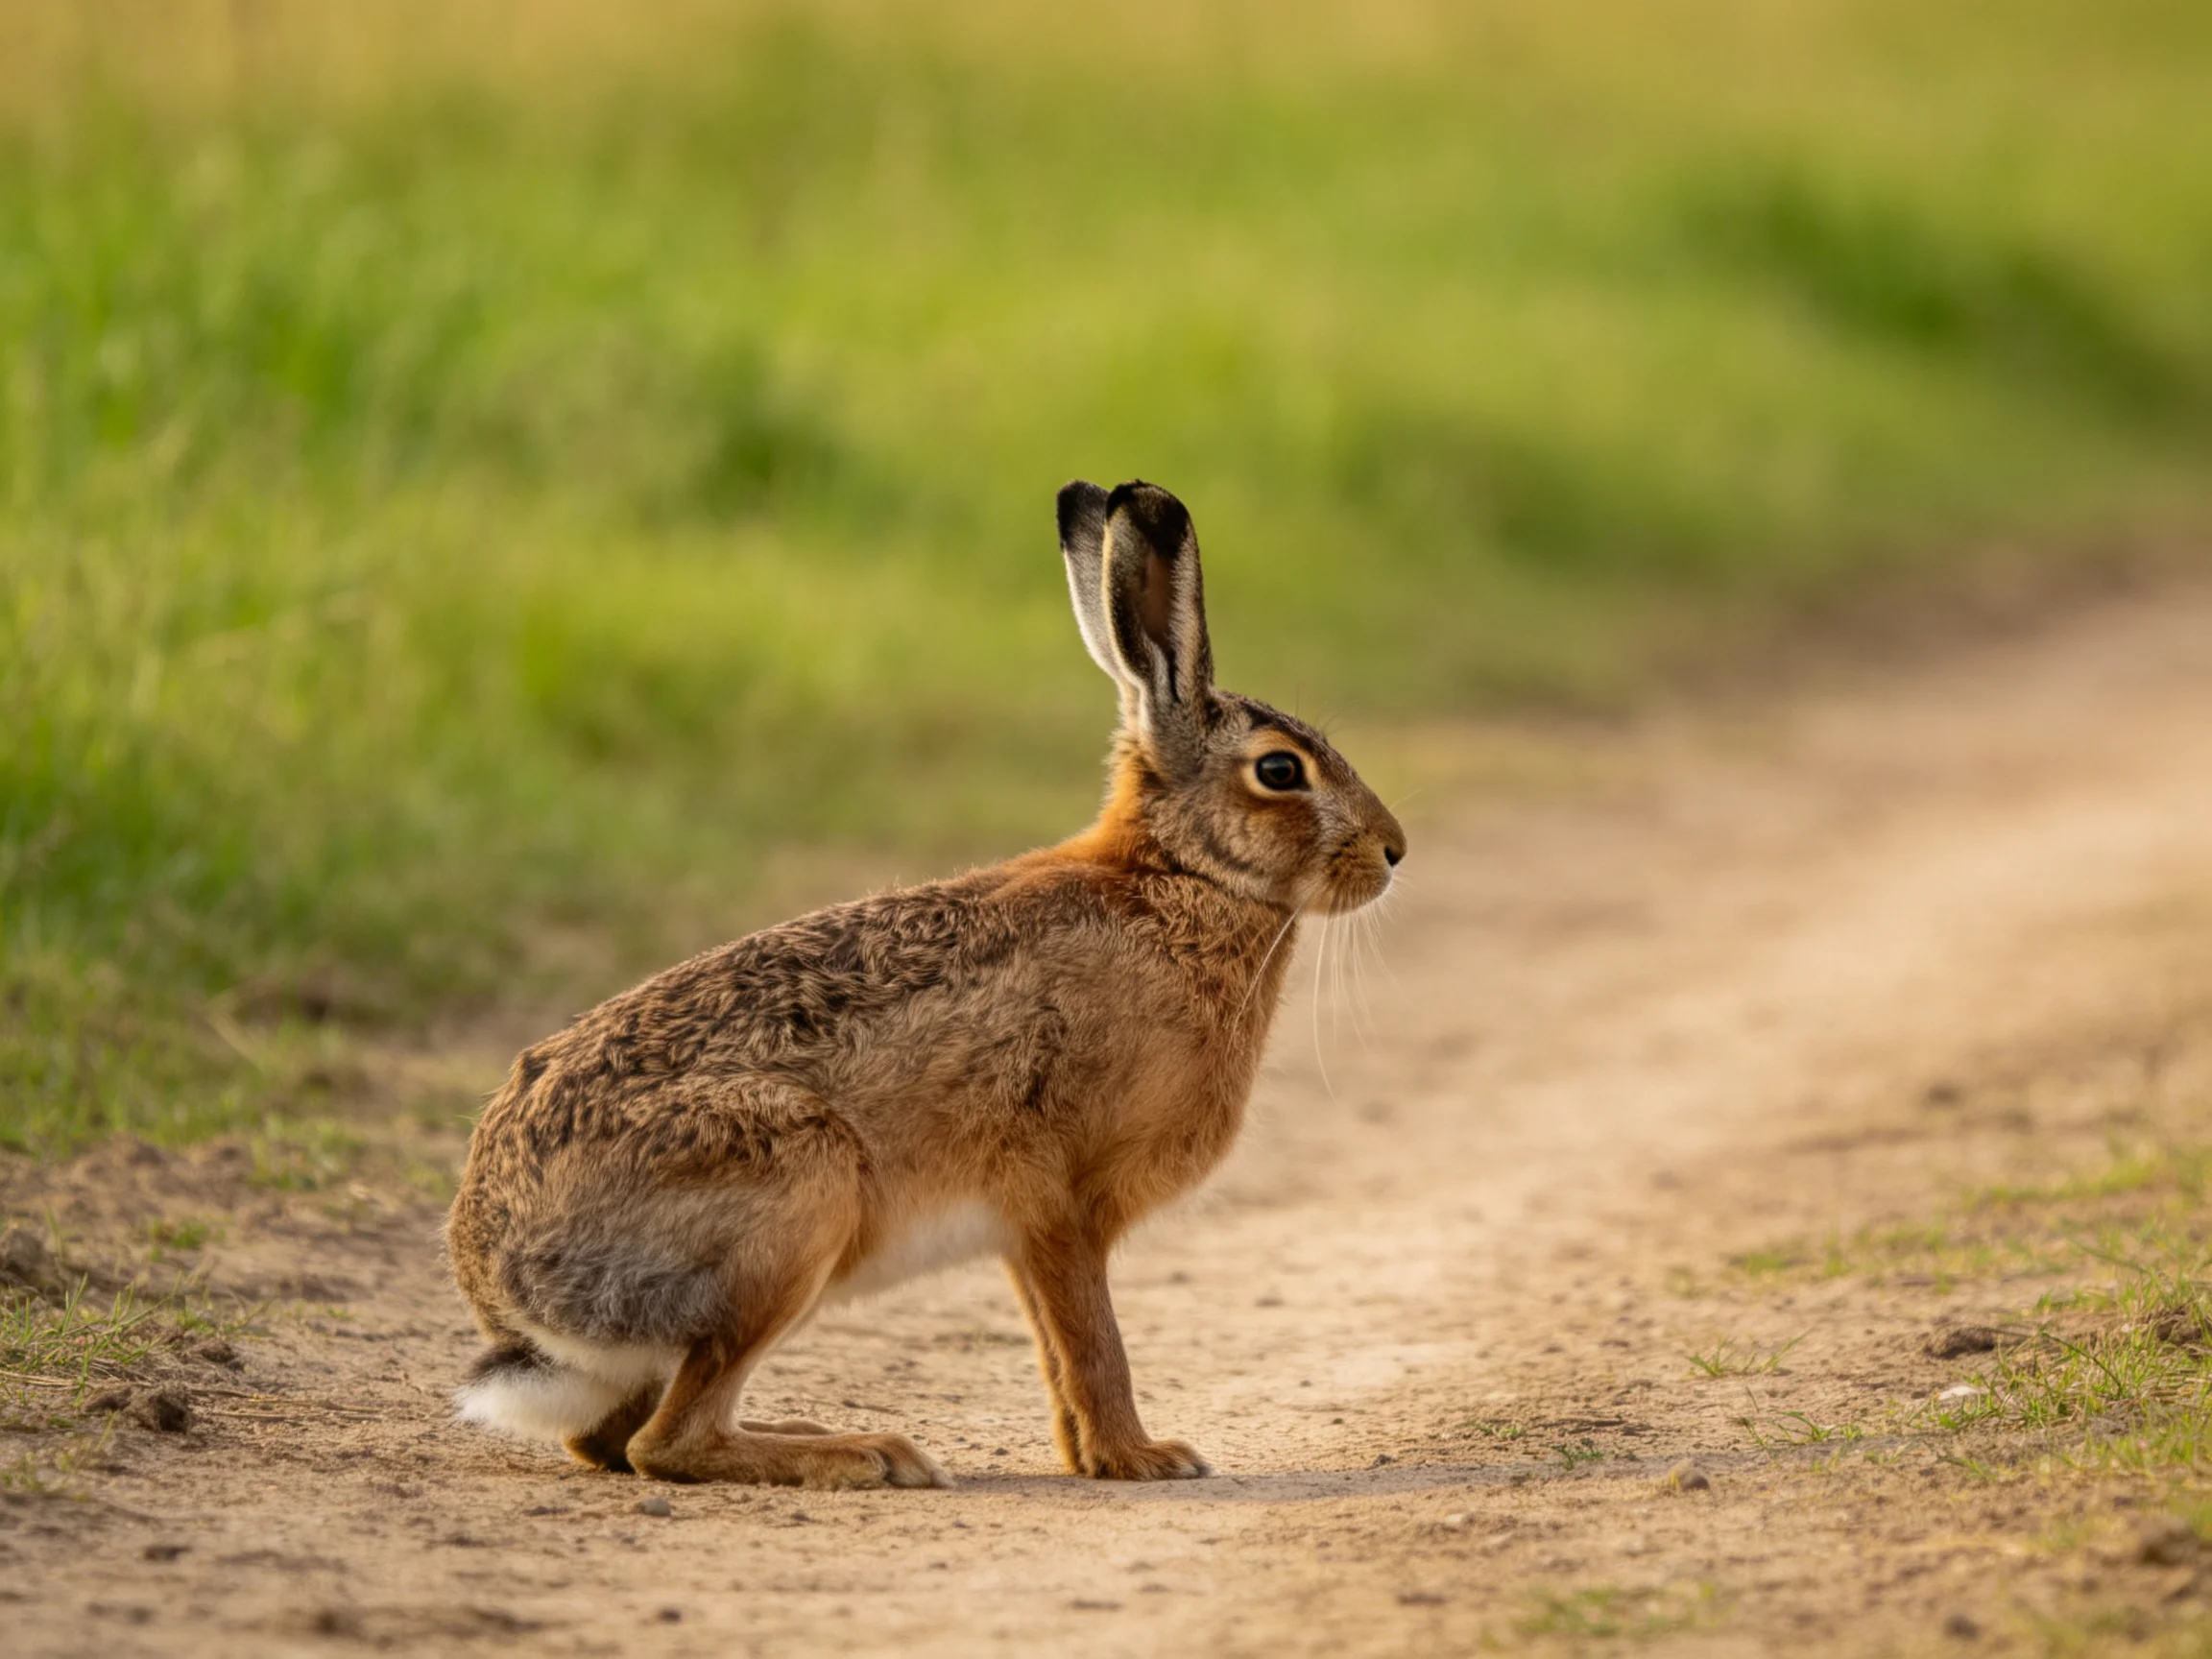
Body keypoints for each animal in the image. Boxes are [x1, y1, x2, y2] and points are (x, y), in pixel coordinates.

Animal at [445, 480, 1406, 1489]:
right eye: (1279, 770)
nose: (1393, 851)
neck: (1180, 878)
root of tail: (512, 1296)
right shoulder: (1058, 1202)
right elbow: (1094, 1342)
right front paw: (1143, 1457)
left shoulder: (1025, 1236)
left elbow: (1055, 1350)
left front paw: (1088, 1457)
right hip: (801, 1193)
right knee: (665, 1442)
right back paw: (870, 1454)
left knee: (611, 1439)